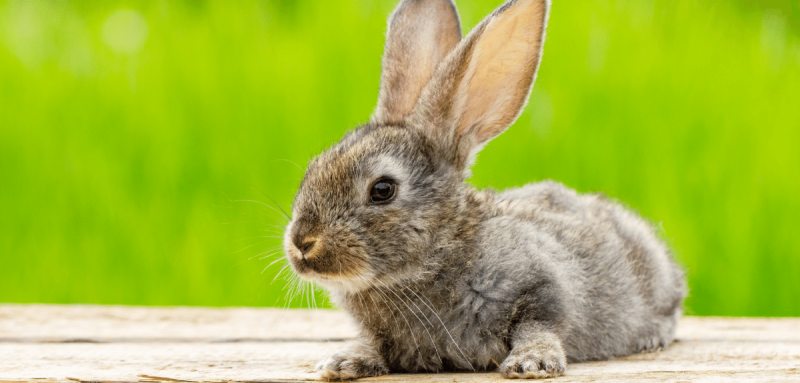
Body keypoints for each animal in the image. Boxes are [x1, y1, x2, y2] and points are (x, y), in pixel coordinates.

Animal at [282, 0, 688, 380]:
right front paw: (344, 362)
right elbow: (375, 344)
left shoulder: (543, 285)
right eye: (313, 169)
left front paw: (532, 363)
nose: (302, 243)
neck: (441, 252)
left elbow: (540, 323)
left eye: (383, 189)